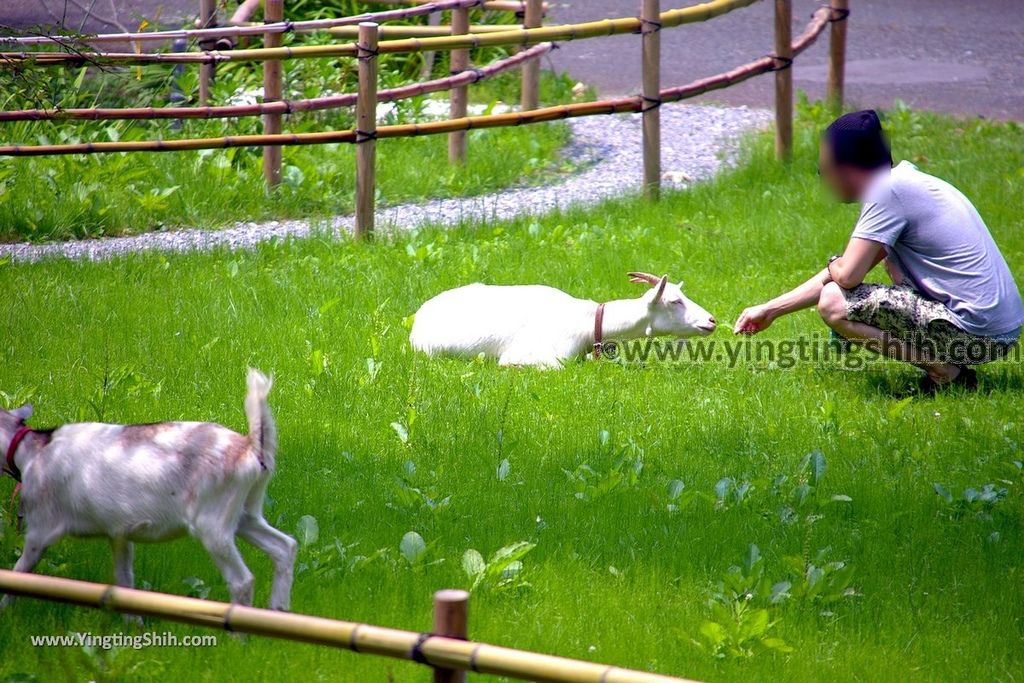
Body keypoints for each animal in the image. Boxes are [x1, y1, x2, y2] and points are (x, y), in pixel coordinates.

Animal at [0, 370, 296, 610]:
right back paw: (277, 612)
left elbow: (20, 572)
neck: (32, 451)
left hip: (213, 522)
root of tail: (251, 448)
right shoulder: (118, 533)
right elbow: (124, 583)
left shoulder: (41, 525)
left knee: (242, 580)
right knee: (284, 546)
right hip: (246, 511)